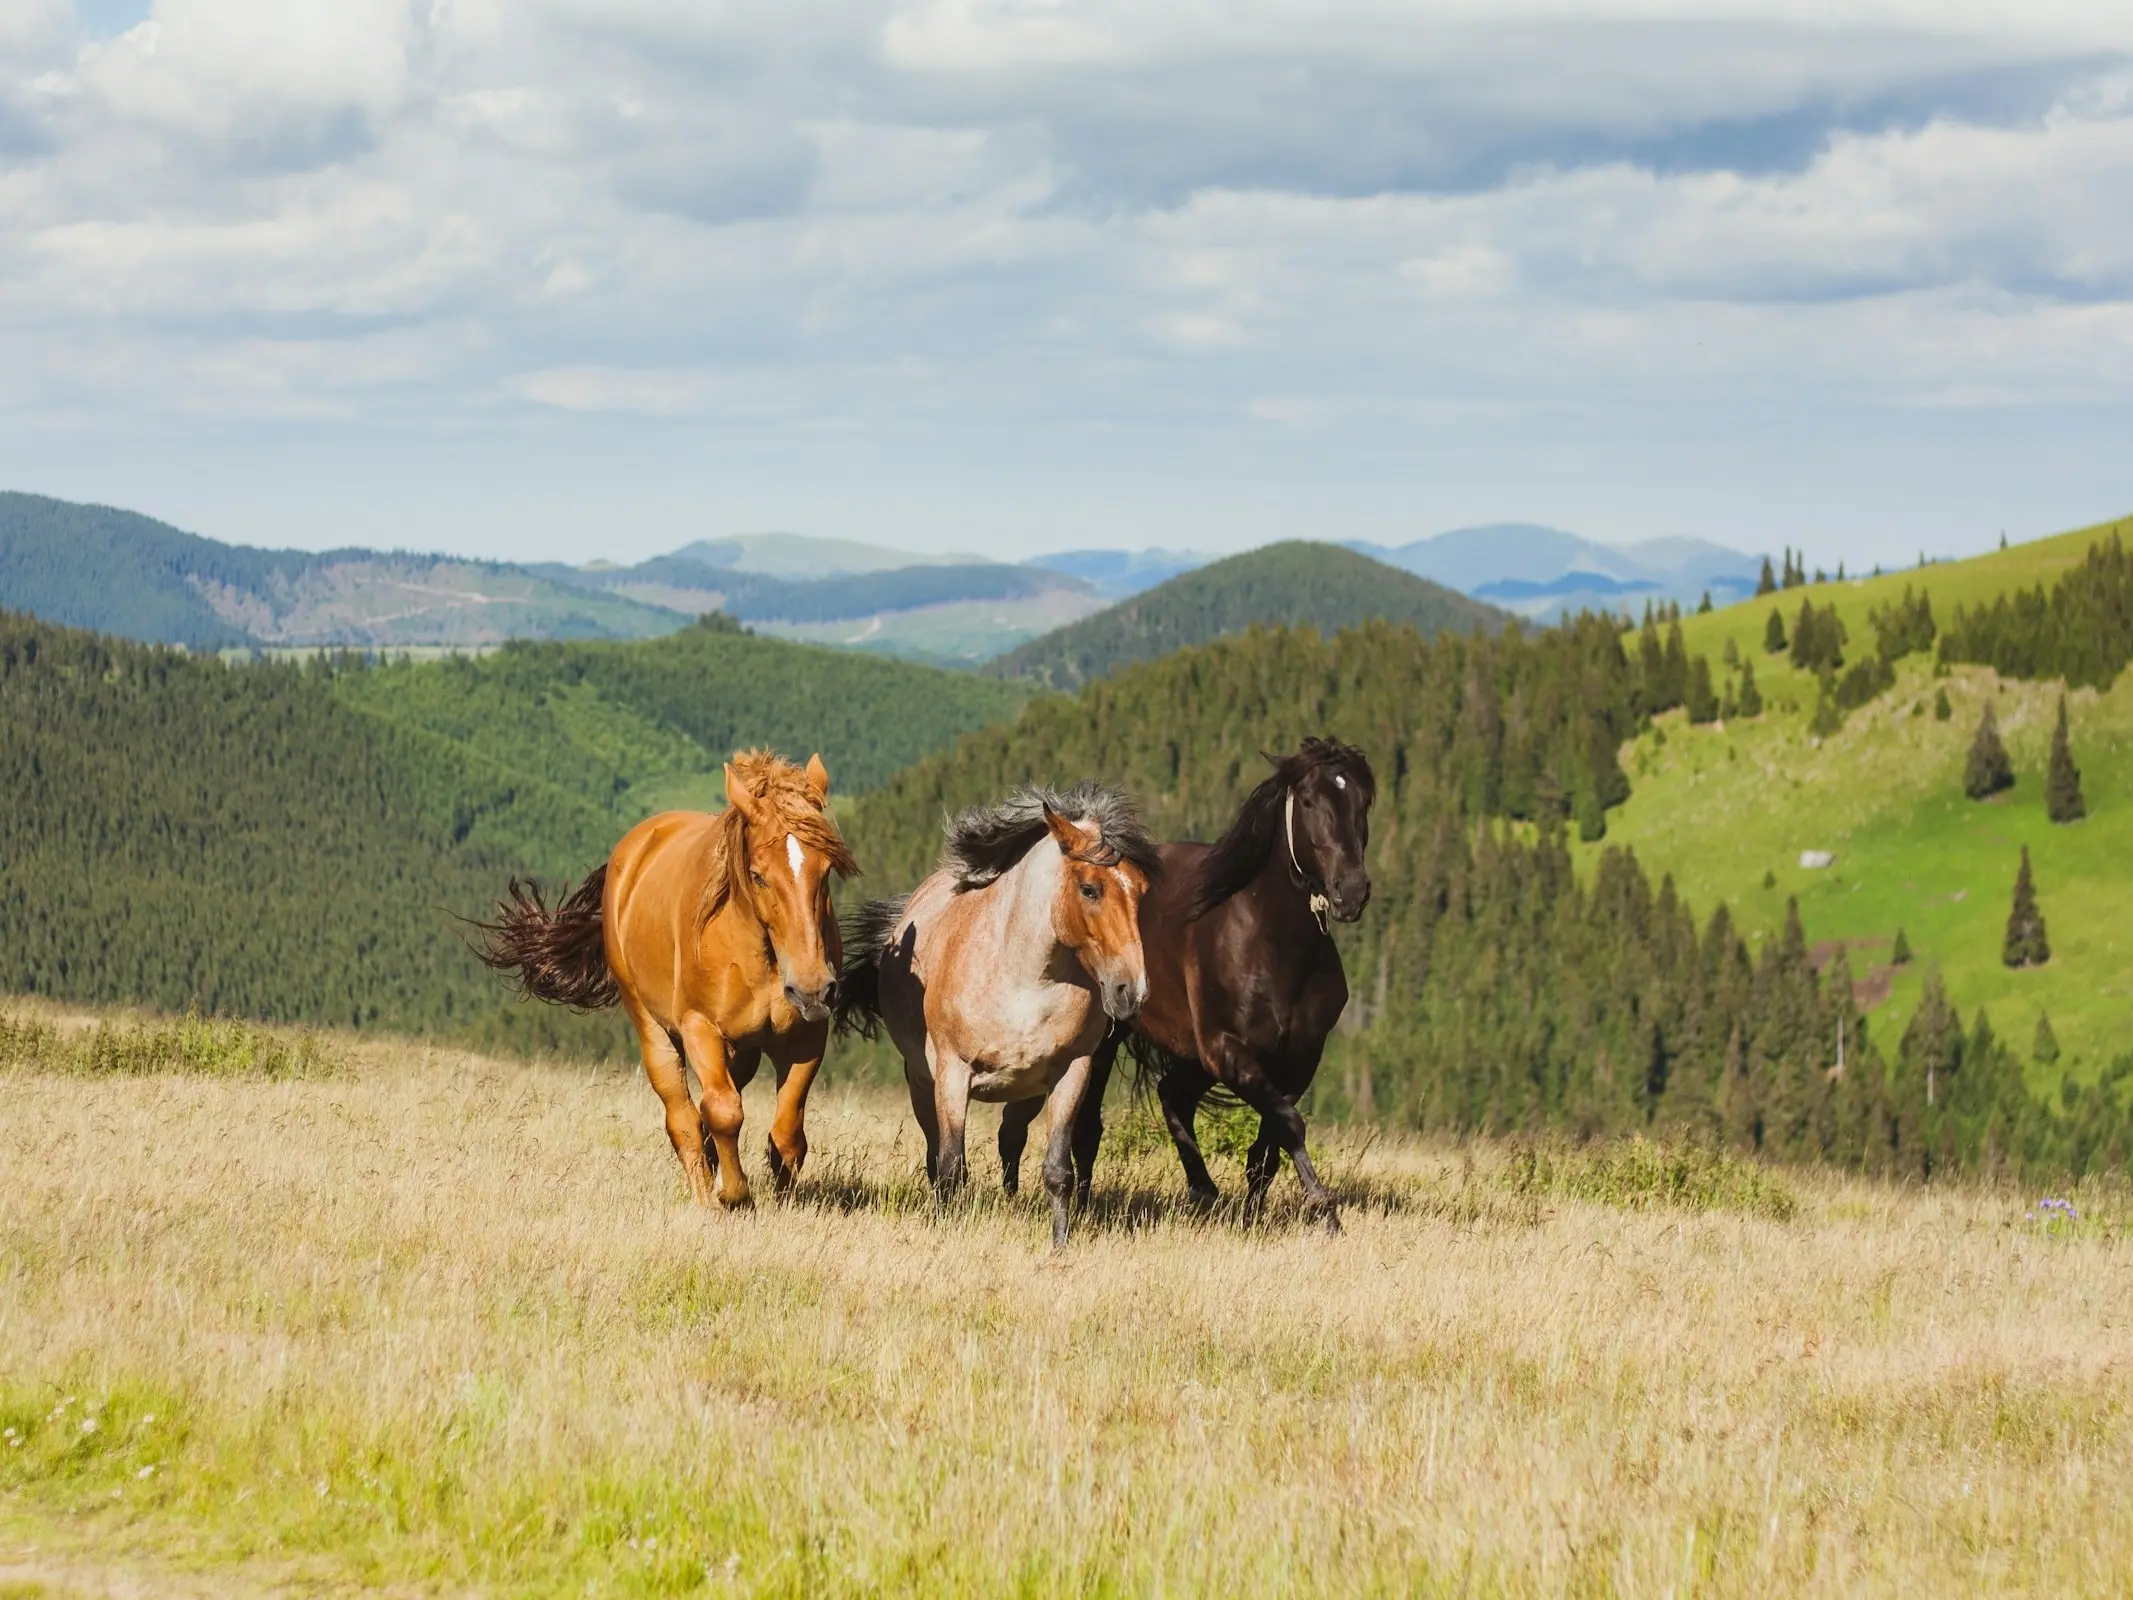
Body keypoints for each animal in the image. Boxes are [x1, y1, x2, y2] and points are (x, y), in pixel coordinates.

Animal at [475, 759, 857, 1211]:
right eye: (759, 876)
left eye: (826, 870)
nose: (812, 987)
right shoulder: (699, 1028)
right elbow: (723, 1111)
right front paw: (733, 1195)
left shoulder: (806, 1037)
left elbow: (787, 1134)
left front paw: (783, 1201)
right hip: (653, 1027)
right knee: (684, 1117)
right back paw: (706, 1193)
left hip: (743, 1048)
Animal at [836, 789, 1168, 1254]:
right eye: (1089, 889)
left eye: (1139, 891)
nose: (1131, 992)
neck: (1023, 980)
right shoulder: (953, 1075)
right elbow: (951, 1166)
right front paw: (947, 1233)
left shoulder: (1072, 1073)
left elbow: (1057, 1169)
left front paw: (1060, 1244)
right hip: (922, 1084)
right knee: (936, 1154)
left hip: (1026, 1094)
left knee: (1010, 1140)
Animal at [1002, 733, 1382, 1237]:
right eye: (1308, 799)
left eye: (1363, 801)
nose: (1351, 892)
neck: (1274, 944)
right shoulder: (1227, 1051)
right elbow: (1289, 1124)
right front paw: (1326, 1211)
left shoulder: (1297, 1060)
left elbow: (1269, 1145)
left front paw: (1253, 1216)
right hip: (1110, 1040)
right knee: (1086, 1127)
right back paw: (1076, 1205)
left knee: (1171, 1096)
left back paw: (1202, 1191)